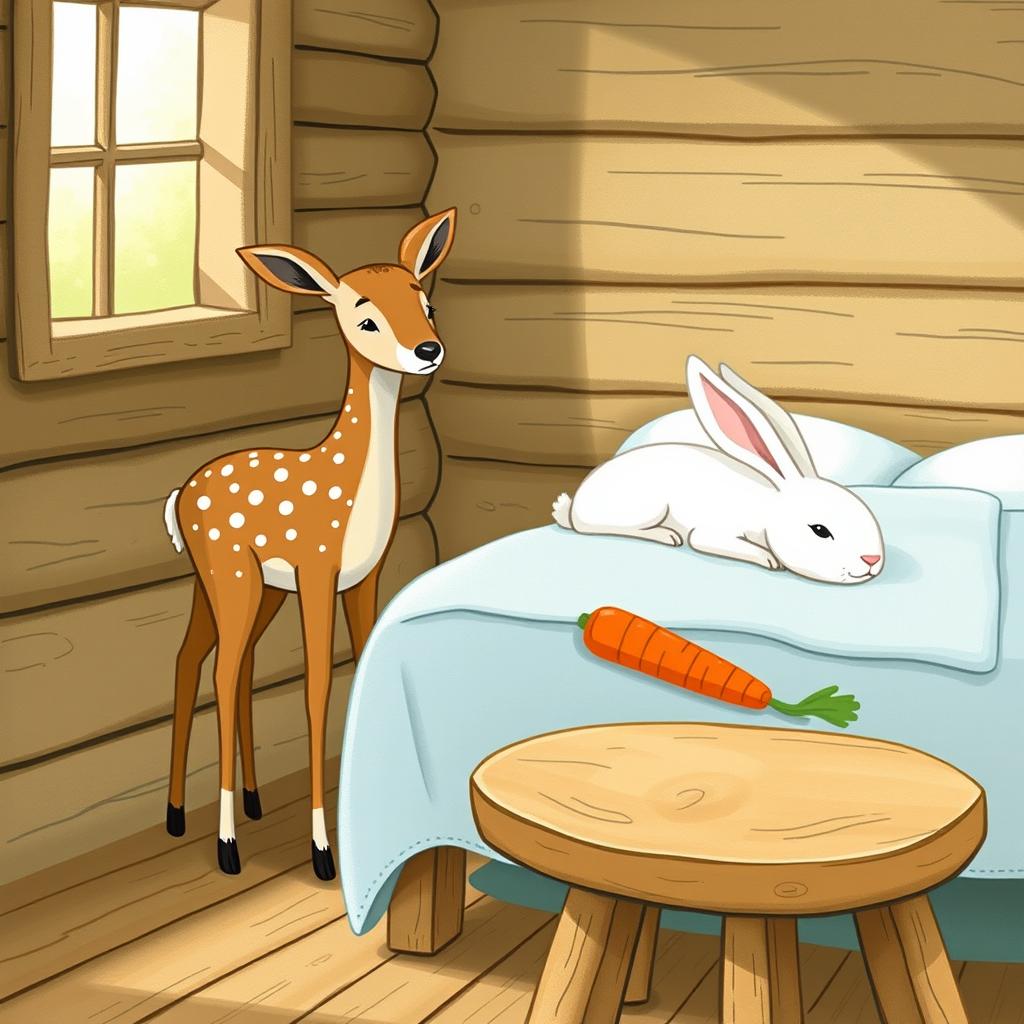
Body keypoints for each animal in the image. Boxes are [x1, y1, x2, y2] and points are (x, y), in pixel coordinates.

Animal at [161, 209, 457, 879]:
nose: (427, 350)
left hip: (231, 584)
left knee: (203, 660)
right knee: (221, 671)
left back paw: (203, 811)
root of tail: (178, 495)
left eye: (427, 302)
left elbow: (358, 669)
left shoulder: (366, 576)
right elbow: (315, 688)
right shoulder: (318, 567)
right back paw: (226, 844)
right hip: (230, 572)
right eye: (365, 318)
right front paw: (324, 852)